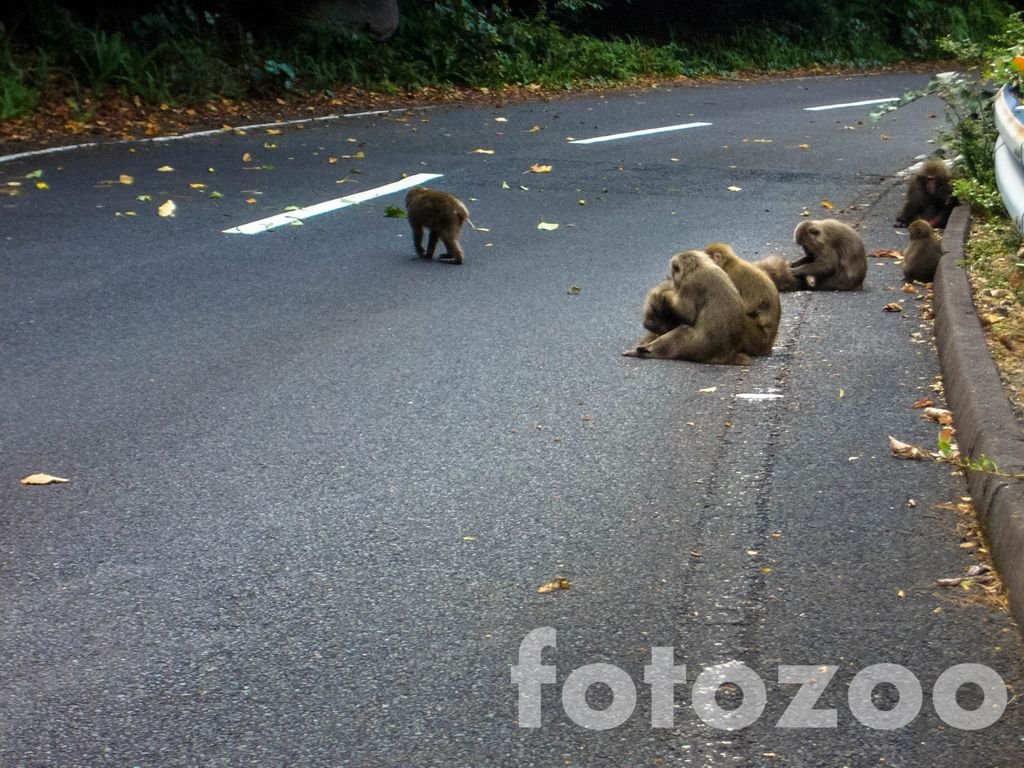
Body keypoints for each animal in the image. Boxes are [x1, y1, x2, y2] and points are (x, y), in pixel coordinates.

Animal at [618, 249, 757, 364]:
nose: (670, 276)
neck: (698, 266)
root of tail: (726, 355)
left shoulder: (690, 284)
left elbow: (687, 314)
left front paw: (667, 295)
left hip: (698, 347)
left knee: (682, 331)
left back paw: (643, 351)